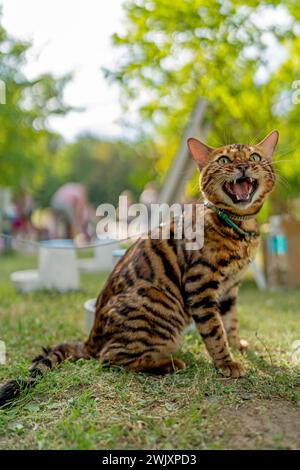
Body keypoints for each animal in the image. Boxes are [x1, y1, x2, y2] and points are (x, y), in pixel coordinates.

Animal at [0, 130, 278, 406]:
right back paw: (169, 363)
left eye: (254, 156)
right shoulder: (200, 284)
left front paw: (237, 345)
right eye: (223, 160)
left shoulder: (230, 287)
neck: (241, 229)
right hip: (161, 307)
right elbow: (214, 330)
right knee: (109, 357)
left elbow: (231, 320)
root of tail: (91, 338)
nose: (243, 166)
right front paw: (227, 363)